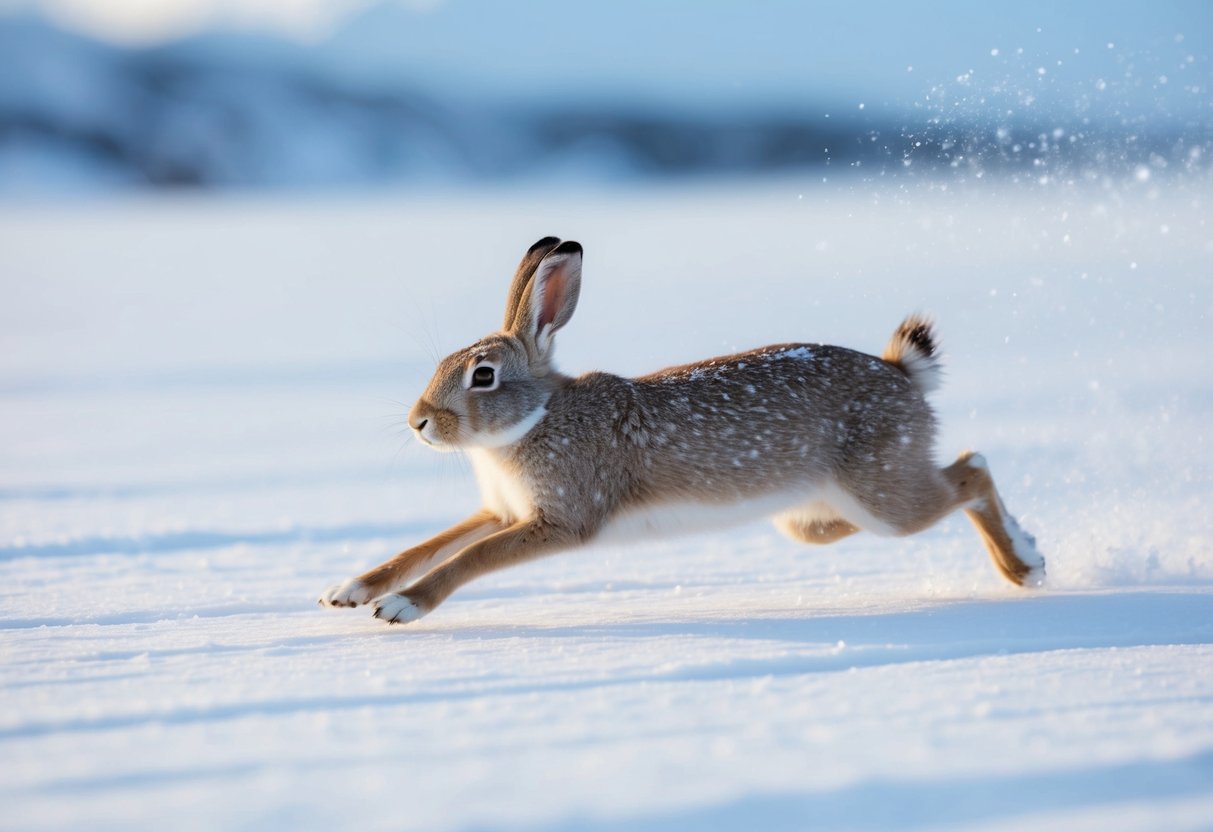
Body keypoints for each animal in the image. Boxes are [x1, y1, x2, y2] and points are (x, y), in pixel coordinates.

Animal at [320, 236, 1045, 624]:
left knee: (970, 471)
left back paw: (1026, 564)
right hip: (821, 514)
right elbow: (429, 544)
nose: (418, 422)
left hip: (886, 495)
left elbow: (469, 558)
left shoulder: (559, 520)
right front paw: (349, 591)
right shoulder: (500, 511)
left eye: (483, 376)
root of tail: (902, 374)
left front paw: (401, 608)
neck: (535, 419)